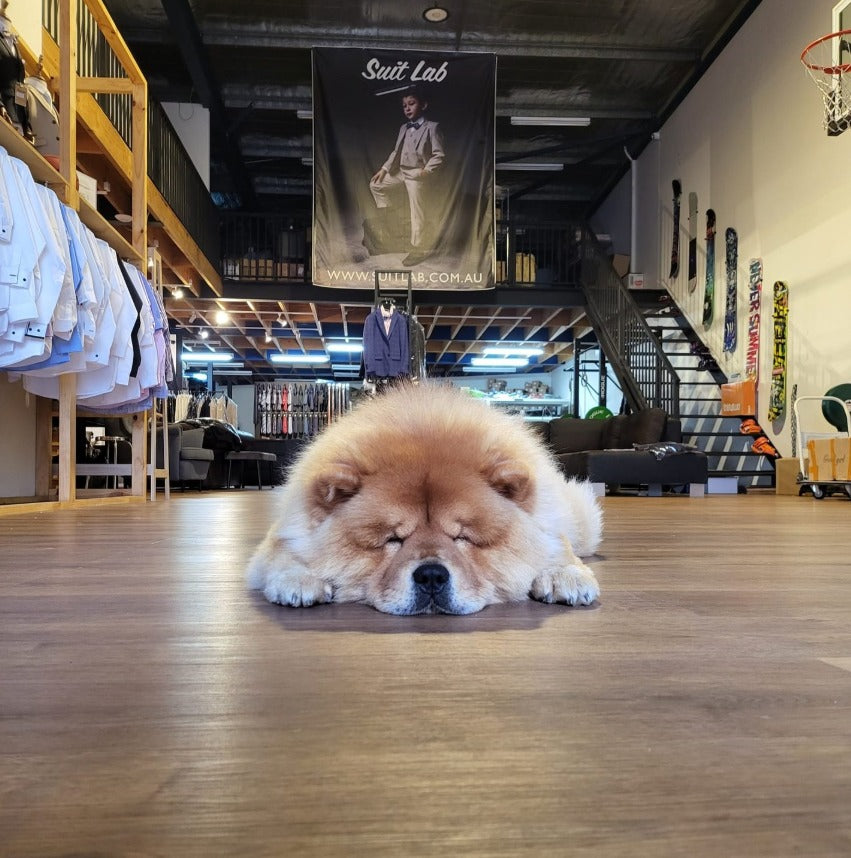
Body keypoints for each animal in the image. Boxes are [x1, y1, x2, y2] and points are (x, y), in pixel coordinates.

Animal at [247, 383, 602, 615]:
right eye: (391, 539)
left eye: (463, 537)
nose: (432, 575)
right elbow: (281, 551)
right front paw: (299, 580)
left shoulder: (549, 527)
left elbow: (557, 545)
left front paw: (565, 575)